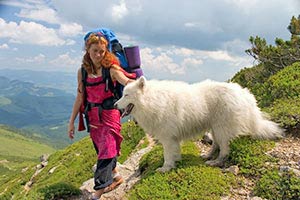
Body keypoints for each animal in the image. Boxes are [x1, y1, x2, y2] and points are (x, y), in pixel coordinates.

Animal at [114, 76, 284, 172]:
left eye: (126, 95)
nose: (115, 105)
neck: (153, 100)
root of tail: (244, 94)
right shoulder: (172, 138)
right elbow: (174, 152)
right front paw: (175, 162)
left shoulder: (167, 138)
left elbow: (167, 154)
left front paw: (165, 168)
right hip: (215, 128)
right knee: (216, 144)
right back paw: (207, 155)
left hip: (222, 128)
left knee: (224, 149)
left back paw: (215, 162)